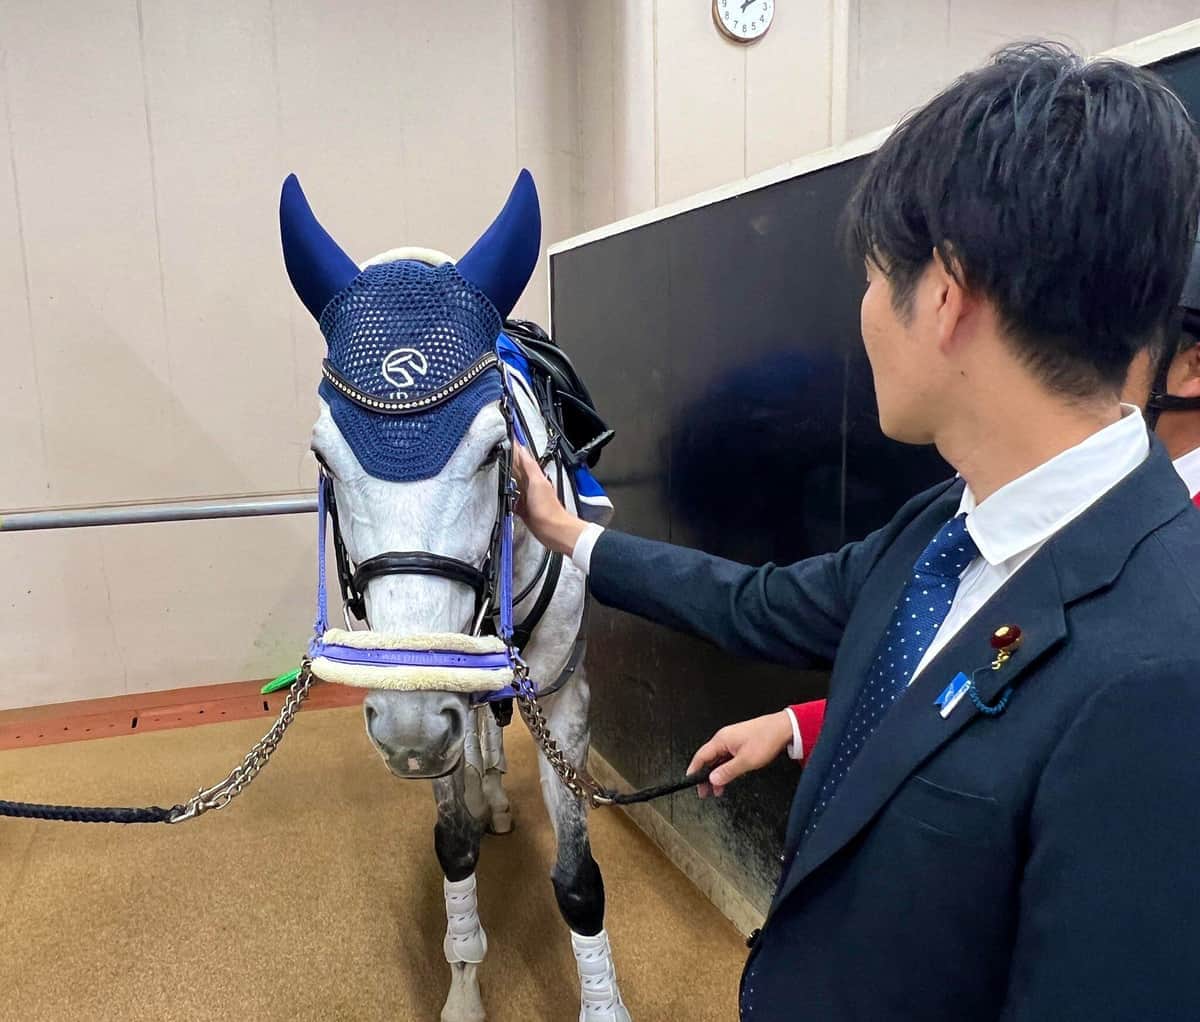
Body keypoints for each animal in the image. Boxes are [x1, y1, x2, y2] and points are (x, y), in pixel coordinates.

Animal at [279, 170, 631, 1022]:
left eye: (495, 451)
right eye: (322, 458)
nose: (409, 727)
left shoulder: (562, 698)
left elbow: (578, 879)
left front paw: (602, 1002)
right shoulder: (418, 690)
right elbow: (454, 842)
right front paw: (466, 983)